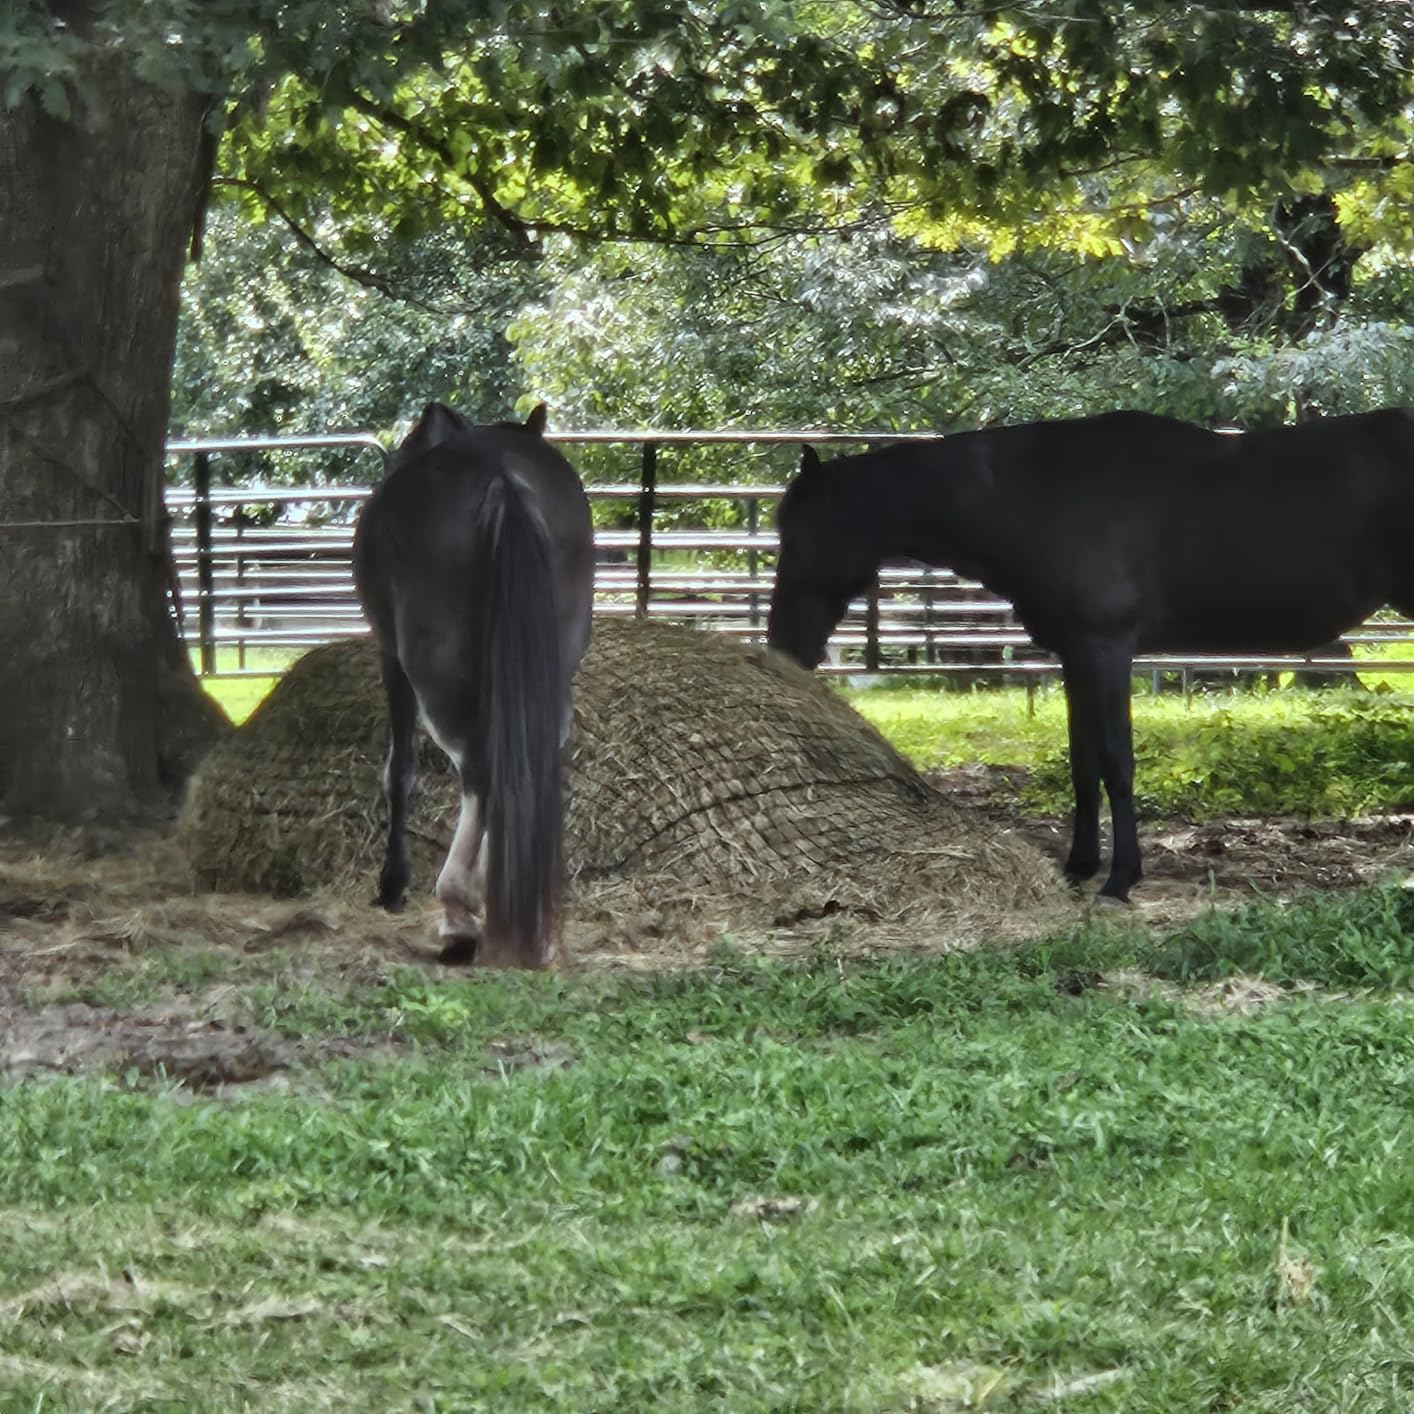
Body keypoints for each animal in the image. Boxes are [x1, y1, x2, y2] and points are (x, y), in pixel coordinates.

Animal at [352, 402, 594, 966]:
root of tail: (502, 476)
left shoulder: (391, 658)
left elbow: (400, 771)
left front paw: (393, 884)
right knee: (525, 754)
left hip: (431, 667)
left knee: (479, 767)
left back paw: (459, 909)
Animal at [767, 408, 1414, 901]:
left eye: (797, 538)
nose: (784, 646)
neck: (1041, 494)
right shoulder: (1075, 654)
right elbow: (1083, 764)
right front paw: (1079, 865)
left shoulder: (1107, 648)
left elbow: (1116, 762)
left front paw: (1121, 878)